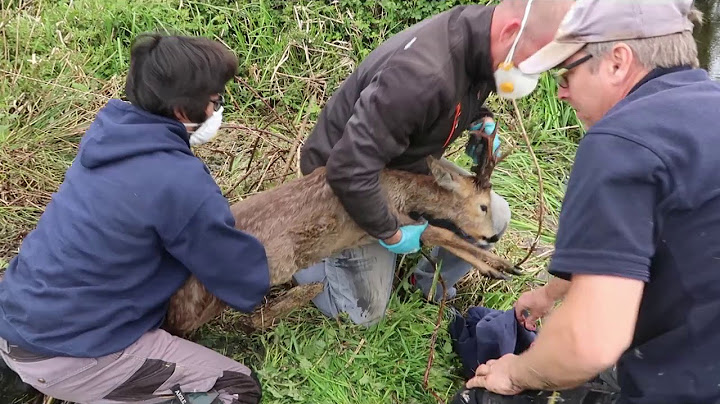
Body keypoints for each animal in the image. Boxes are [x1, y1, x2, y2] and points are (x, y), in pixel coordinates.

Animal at [165, 156, 516, 336]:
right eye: (483, 206)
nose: (492, 237)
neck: (401, 190)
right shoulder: (394, 221)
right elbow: (447, 235)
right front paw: (501, 267)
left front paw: (500, 267)